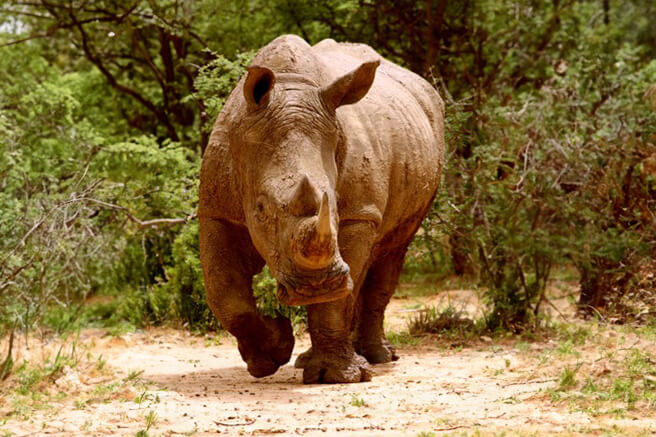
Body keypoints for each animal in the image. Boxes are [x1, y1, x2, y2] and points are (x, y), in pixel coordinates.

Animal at [198, 35, 444, 383]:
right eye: (260, 209)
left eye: (335, 206)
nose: (317, 286)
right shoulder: (217, 211)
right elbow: (223, 291)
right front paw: (270, 356)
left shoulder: (357, 213)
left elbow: (338, 297)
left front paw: (339, 376)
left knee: (393, 249)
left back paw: (376, 357)